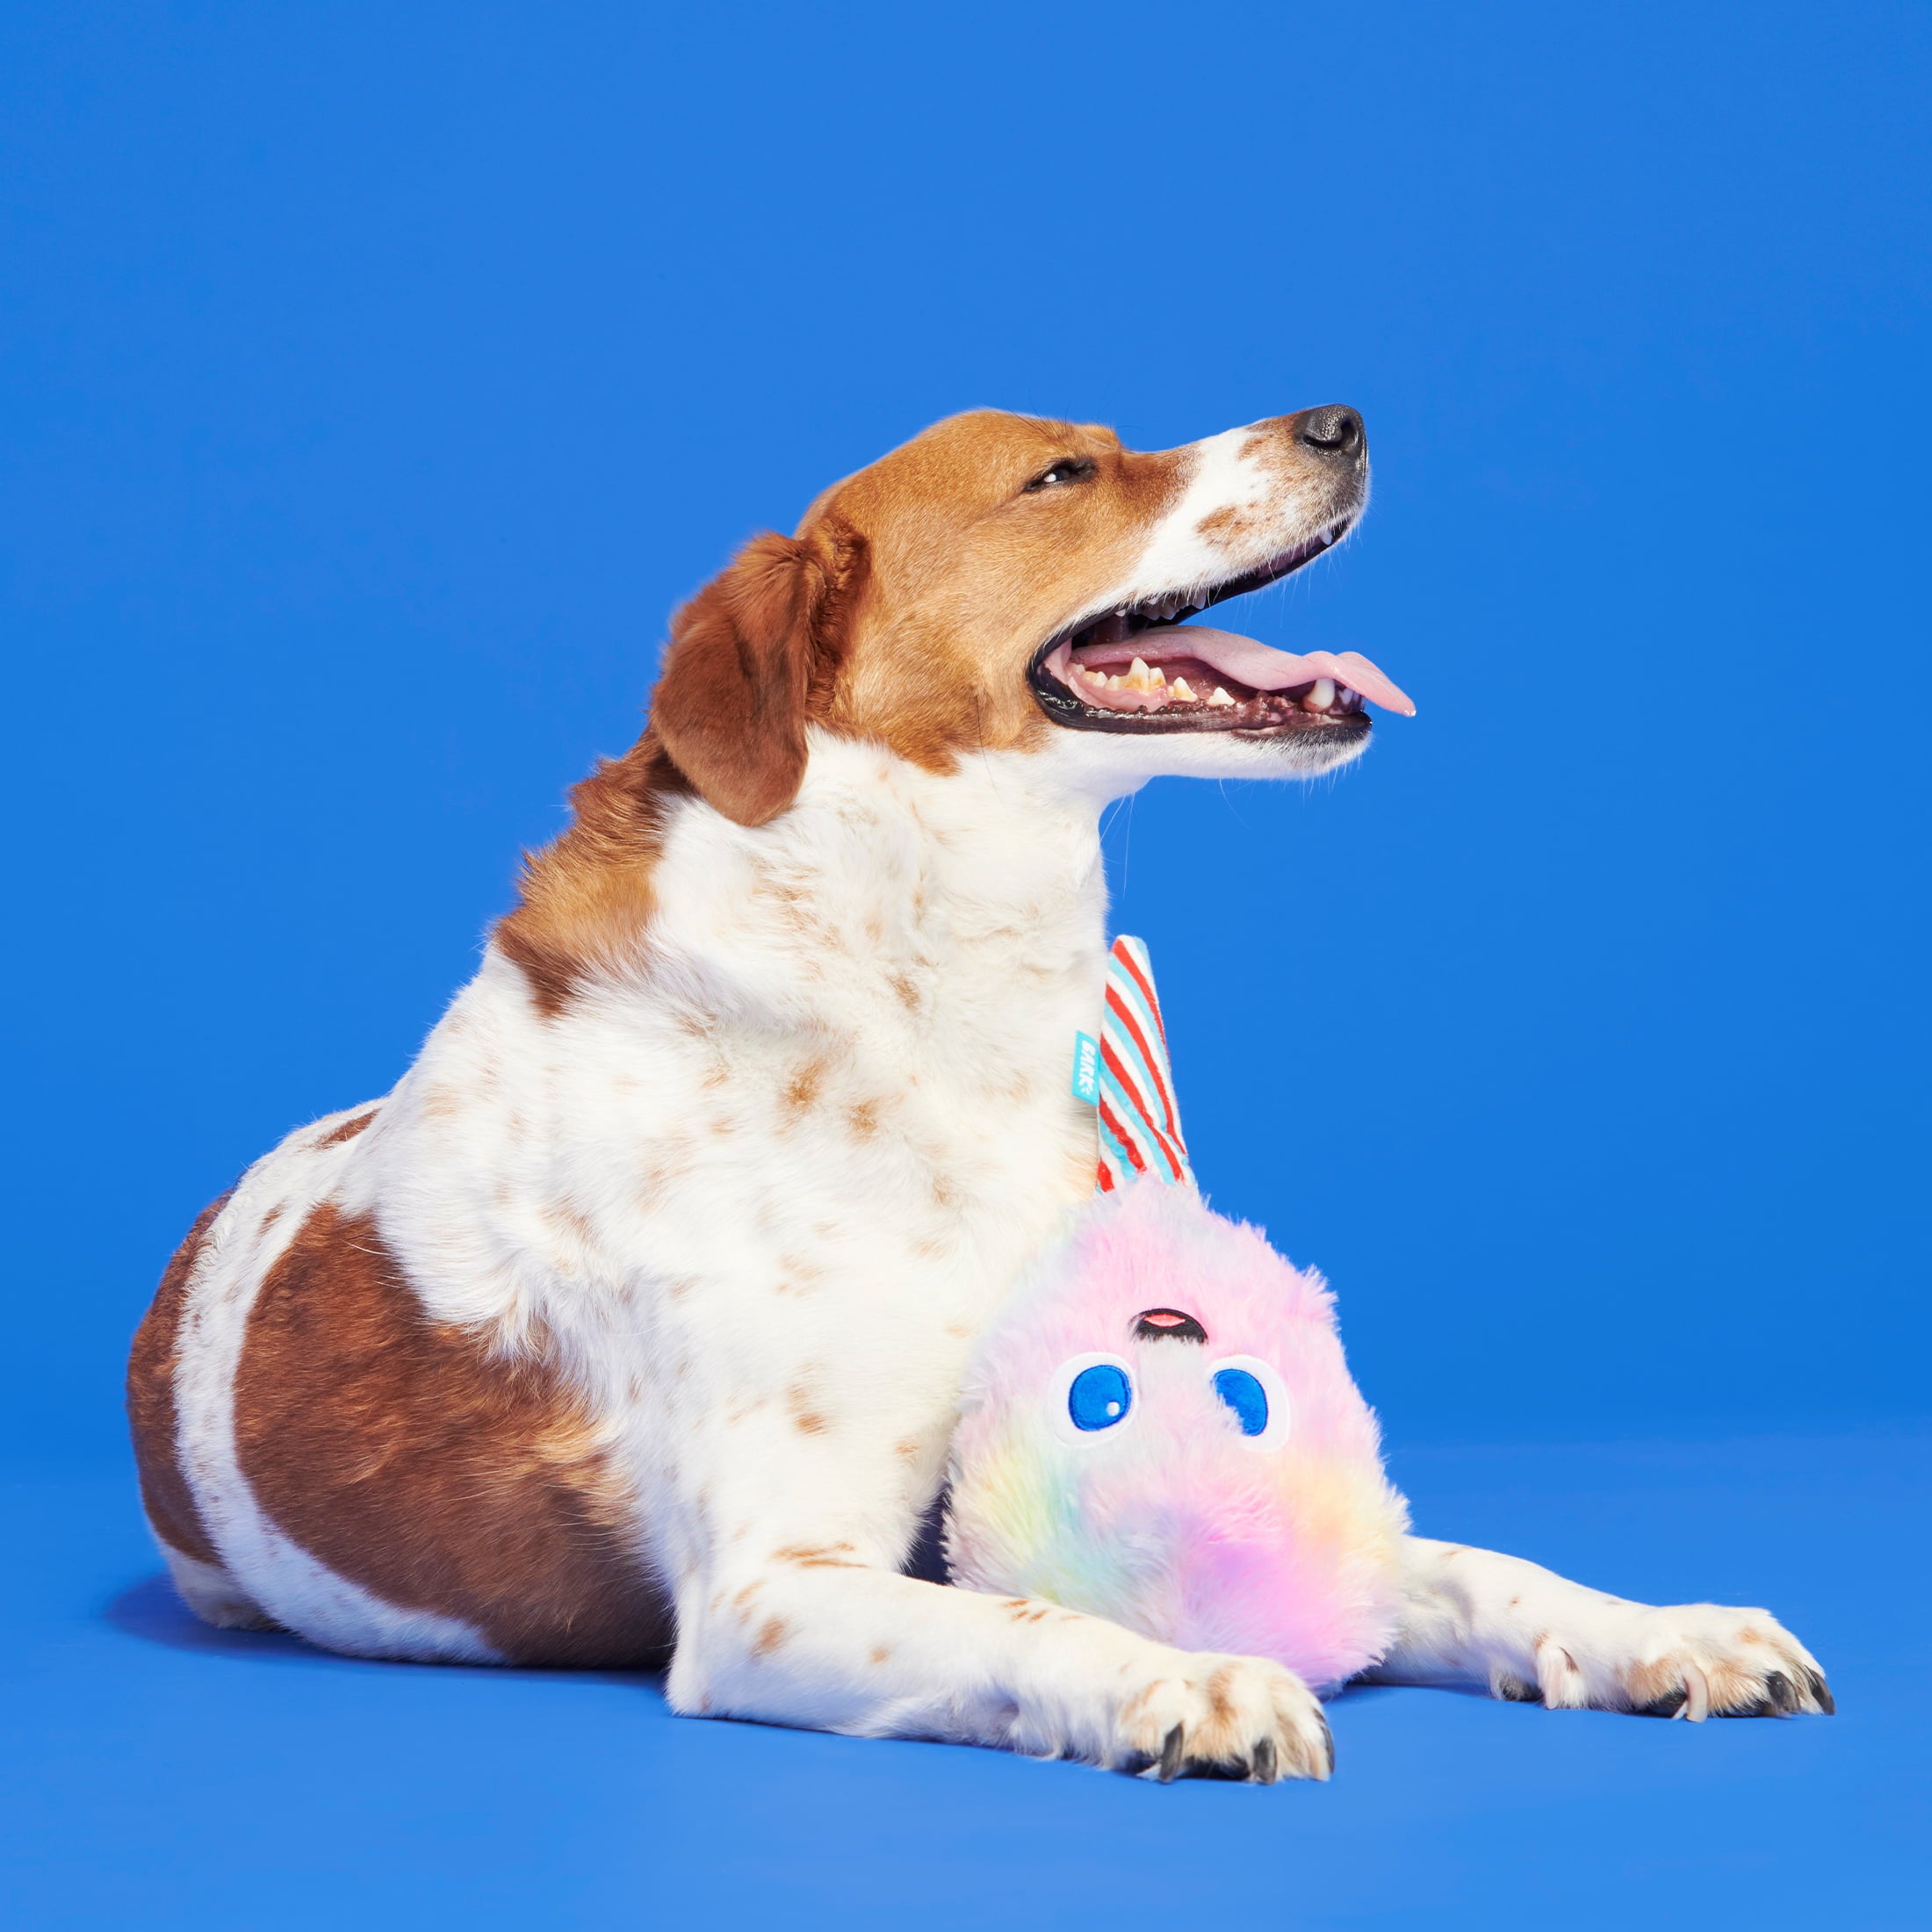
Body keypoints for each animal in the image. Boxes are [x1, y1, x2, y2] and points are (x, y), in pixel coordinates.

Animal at [124, 407, 1823, 1777]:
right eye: (1063, 473)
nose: (1344, 420)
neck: (925, 1003)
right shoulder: (777, 1584)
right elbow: (1032, 1623)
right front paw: (1189, 1676)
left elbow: (1472, 1567)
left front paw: (1663, 1630)